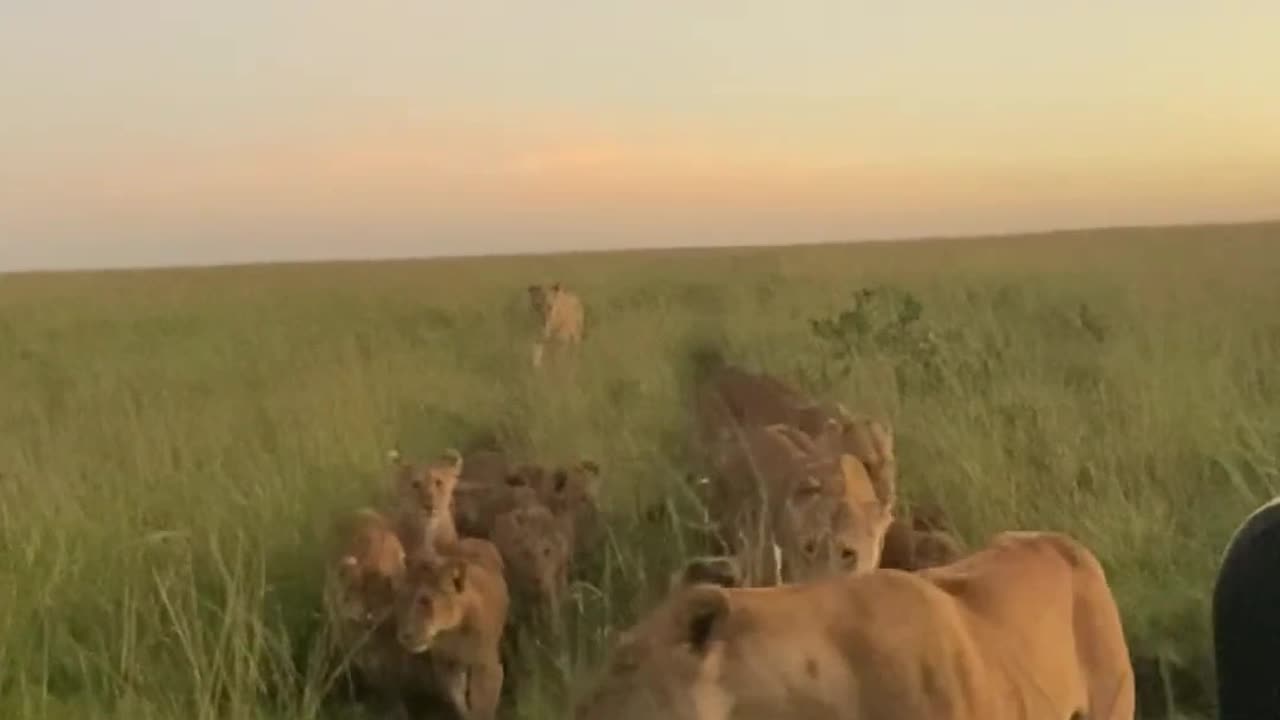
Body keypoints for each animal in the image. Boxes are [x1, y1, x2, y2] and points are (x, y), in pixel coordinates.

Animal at [394, 532, 509, 717]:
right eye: (401, 597)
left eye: (425, 601)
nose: (404, 636)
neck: (452, 631)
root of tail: (476, 539)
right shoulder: (446, 663)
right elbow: (456, 697)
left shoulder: (486, 667)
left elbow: (482, 708)